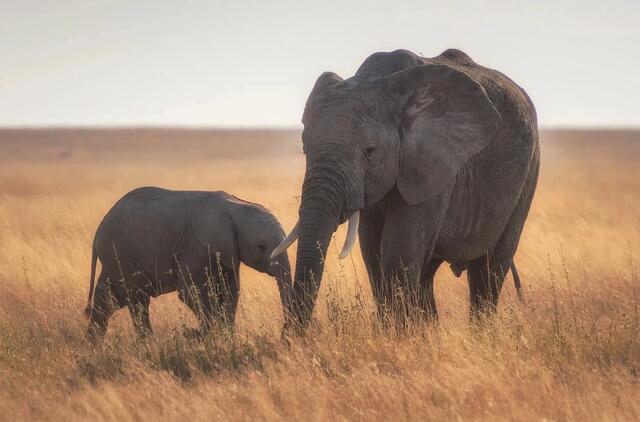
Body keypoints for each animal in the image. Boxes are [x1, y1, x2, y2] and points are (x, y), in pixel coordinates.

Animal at [83, 188, 292, 342]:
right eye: (261, 247)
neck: (236, 206)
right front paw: (209, 336)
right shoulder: (195, 247)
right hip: (121, 254)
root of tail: (98, 233)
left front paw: (226, 336)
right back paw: (148, 344)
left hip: (116, 259)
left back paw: (92, 346)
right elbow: (191, 292)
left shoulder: (228, 253)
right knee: (138, 301)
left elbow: (231, 291)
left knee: (107, 300)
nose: (284, 335)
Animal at [272, 47, 536, 328]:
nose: (291, 335)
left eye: (370, 151)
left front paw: (399, 334)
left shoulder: (433, 162)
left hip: (528, 172)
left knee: (489, 269)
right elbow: (372, 251)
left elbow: (399, 250)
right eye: (305, 148)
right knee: (428, 273)